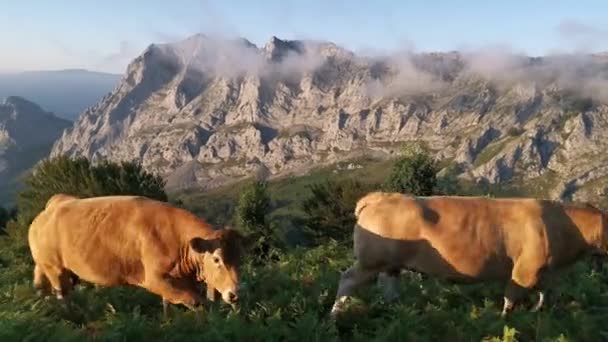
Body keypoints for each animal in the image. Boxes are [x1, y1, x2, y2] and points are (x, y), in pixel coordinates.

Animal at [27, 194, 247, 316]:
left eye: (240, 259)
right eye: (217, 259)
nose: (235, 294)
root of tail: (48, 210)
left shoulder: (177, 278)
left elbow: (167, 302)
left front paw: (168, 322)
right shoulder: (154, 279)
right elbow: (197, 302)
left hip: (49, 266)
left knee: (40, 284)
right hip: (54, 268)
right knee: (62, 295)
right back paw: (71, 318)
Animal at [332, 192, 608, 318]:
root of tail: (381, 196)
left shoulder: (545, 273)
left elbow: (545, 294)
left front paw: (538, 312)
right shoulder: (524, 270)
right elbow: (511, 300)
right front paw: (504, 321)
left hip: (390, 264)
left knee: (389, 287)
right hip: (371, 261)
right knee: (347, 280)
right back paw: (335, 315)